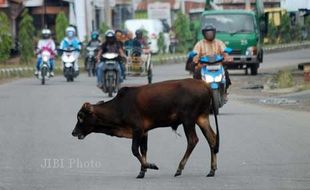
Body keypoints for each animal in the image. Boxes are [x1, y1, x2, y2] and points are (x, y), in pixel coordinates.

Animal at [71, 78, 219, 178]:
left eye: (80, 117)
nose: (73, 132)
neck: (119, 107)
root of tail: (205, 85)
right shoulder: (144, 132)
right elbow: (143, 150)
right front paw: (142, 171)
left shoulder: (137, 129)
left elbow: (134, 150)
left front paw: (150, 166)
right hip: (202, 118)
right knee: (212, 139)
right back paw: (211, 170)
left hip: (188, 120)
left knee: (193, 140)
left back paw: (179, 168)